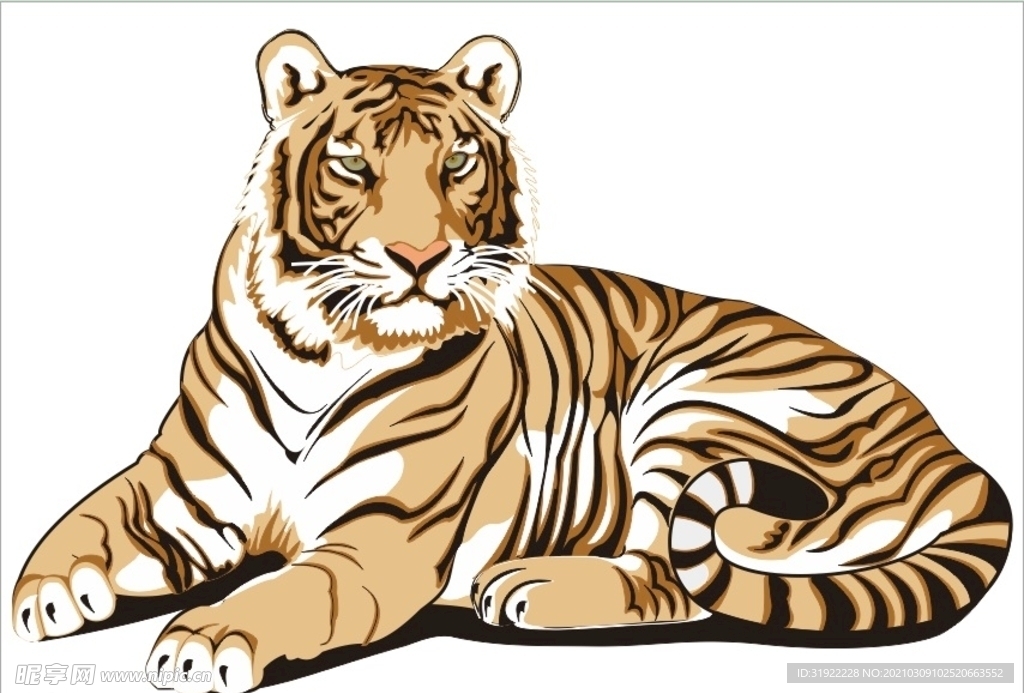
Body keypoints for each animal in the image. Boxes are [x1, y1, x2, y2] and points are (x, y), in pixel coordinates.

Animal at [12, 30, 1013, 693]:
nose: (418, 257)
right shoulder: (180, 484)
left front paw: (206, 637)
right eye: (352, 163)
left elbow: (293, 587)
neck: (319, 345)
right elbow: (89, 515)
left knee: (672, 575)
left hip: (691, 403)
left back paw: (529, 583)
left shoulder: (379, 536)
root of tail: (947, 443)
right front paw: (45, 592)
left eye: (456, 159)